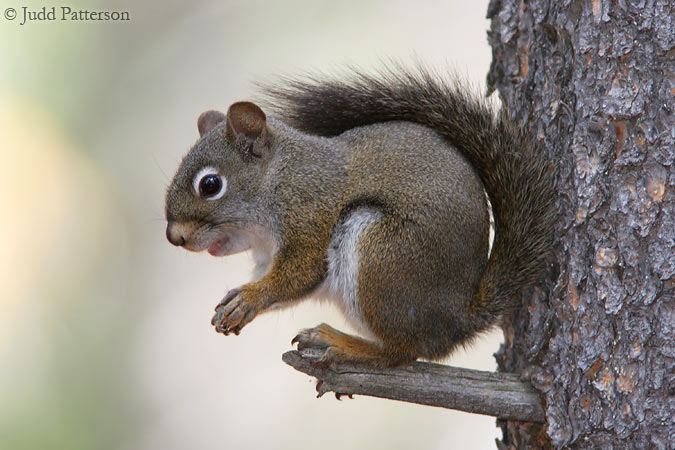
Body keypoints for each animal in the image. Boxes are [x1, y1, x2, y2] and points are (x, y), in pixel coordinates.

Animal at [165, 66, 555, 368]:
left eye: (210, 185)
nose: (174, 237)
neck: (280, 179)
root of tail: (457, 319)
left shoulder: (309, 214)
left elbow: (300, 273)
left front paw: (248, 298)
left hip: (383, 257)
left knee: (402, 352)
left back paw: (343, 345)